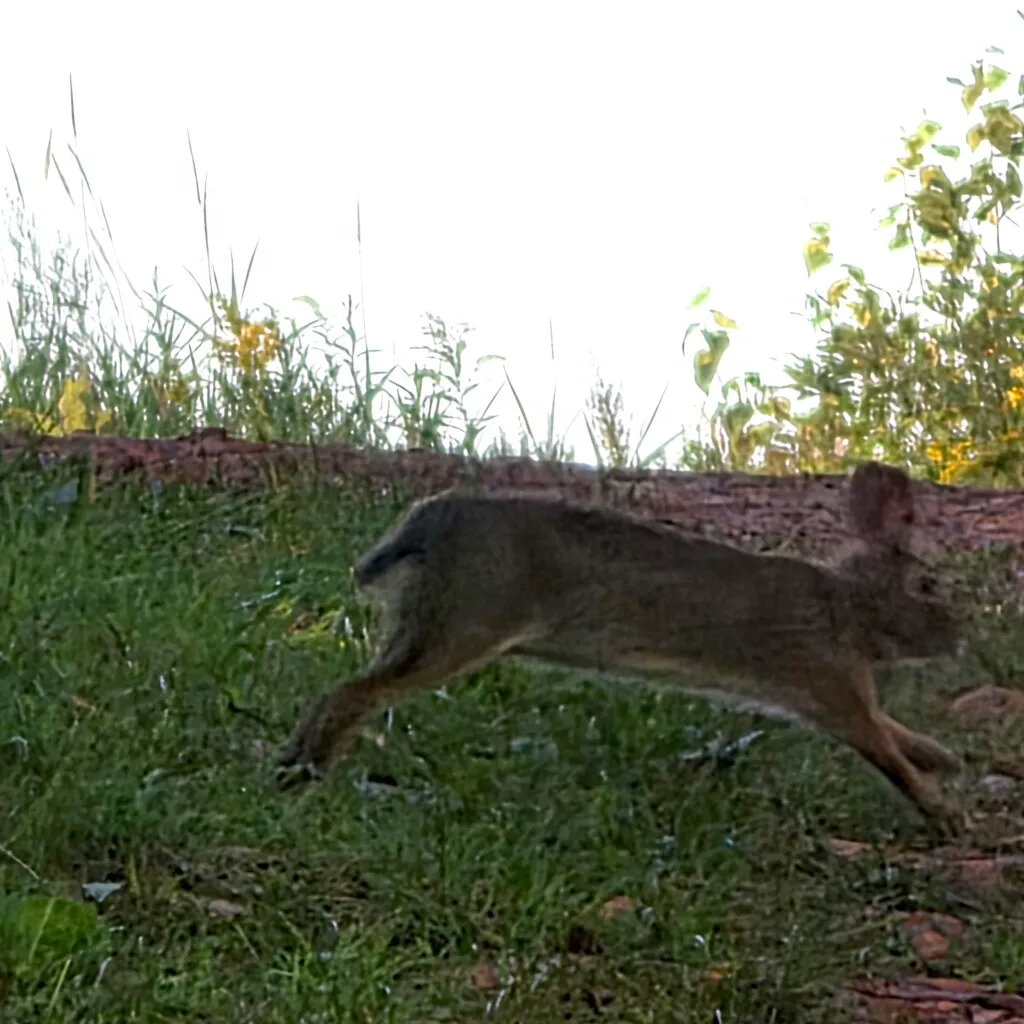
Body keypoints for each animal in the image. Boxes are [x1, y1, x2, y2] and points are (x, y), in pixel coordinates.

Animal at [278, 461, 964, 827]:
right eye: (929, 586)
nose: (960, 634)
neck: (845, 605)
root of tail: (421, 529)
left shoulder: (840, 690)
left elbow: (895, 733)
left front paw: (943, 760)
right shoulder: (830, 686)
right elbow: (883, 751)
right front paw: (941, 809)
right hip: (462, 627)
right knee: (354, 694)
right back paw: (307, 772)